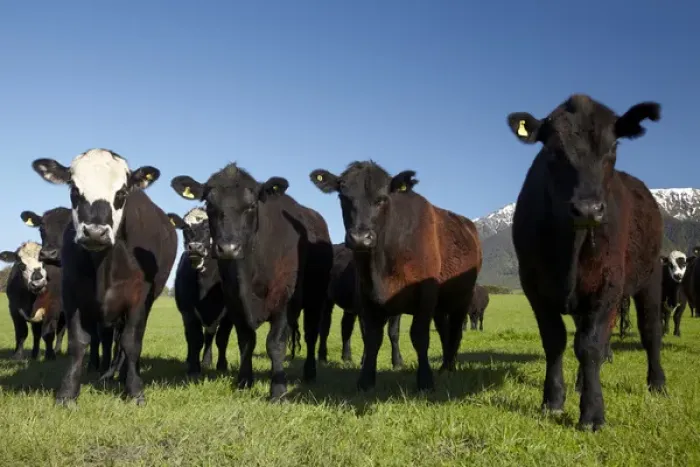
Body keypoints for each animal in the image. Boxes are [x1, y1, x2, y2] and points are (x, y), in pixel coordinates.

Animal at [31, 148, 177, 406]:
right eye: (74, 190)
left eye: (121, 192)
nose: (95, 232)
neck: (104, 267)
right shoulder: (73, 295)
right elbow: (79, 342)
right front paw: (68, 393)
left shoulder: (139, 297)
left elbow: (131, 342)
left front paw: (134, 390)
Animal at [167, 207, 234, 376]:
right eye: (185, 228)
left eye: (210, 227)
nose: (195, 247)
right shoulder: (188, 311)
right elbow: (195, 339)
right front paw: (193, 369)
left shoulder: (229, 314)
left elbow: (222, 339)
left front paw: (222, 366)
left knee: (209, 336)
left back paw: (207, 361)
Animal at [310, 161, 482, 392]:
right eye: (343, 197)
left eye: (382, 198)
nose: (360, 238)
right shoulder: (367, 296)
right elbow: (373, 337)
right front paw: (366, 379)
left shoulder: (426, 294)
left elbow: (419, 335)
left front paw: (425, 380)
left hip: (462, 297)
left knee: (455, 330)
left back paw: (449, 366)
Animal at [508, 94, 666, 431]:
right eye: (553, 150)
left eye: (613, 147)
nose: (588, 209)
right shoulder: (533, 285)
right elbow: (555, 340)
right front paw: (553, 400)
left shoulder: (607, 284)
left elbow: (590, 345)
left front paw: (592, 412)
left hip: (650, 278)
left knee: (650, 331)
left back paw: (657, 383)